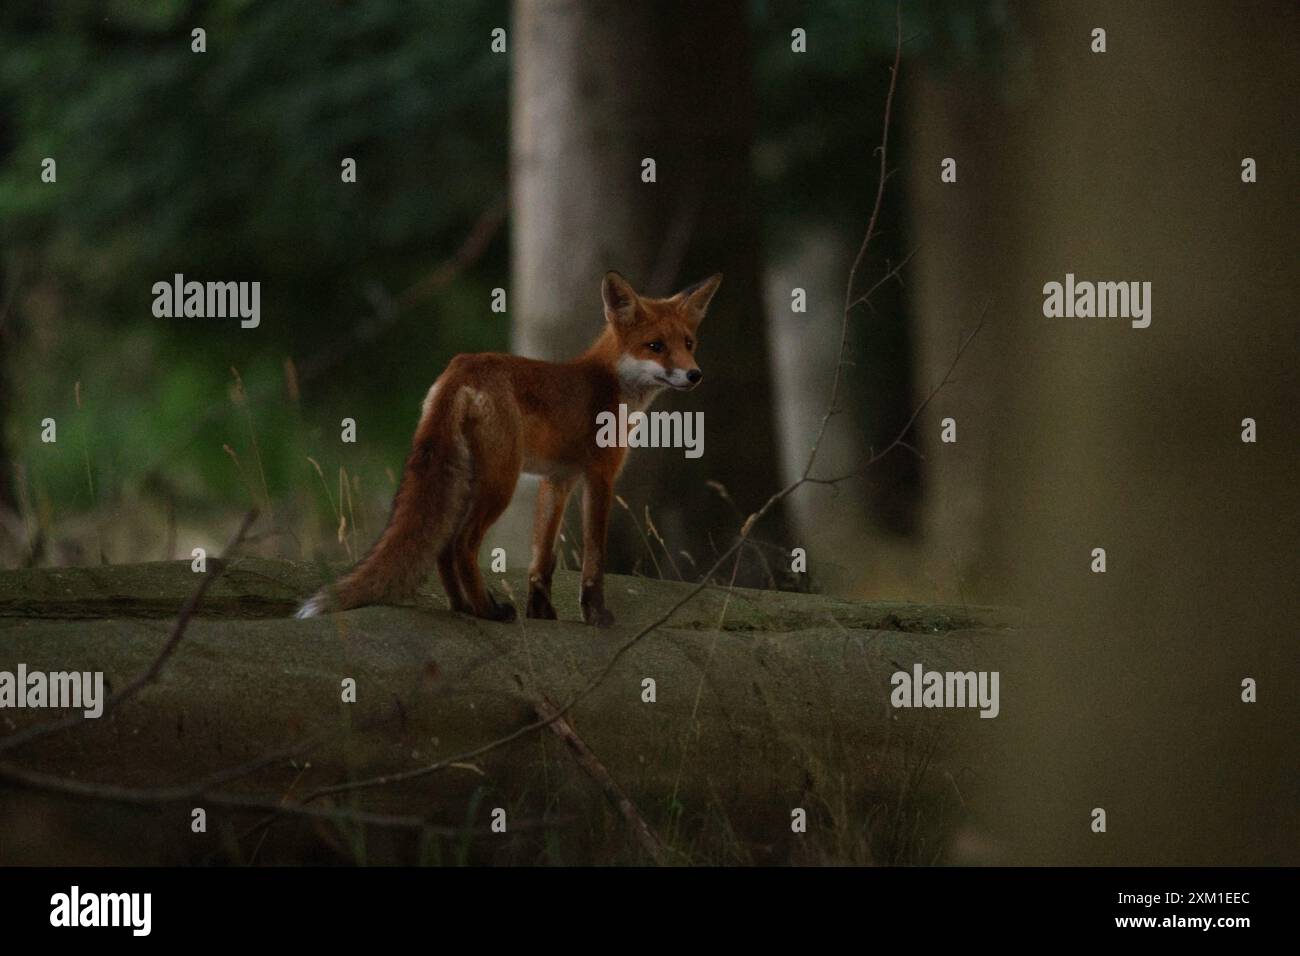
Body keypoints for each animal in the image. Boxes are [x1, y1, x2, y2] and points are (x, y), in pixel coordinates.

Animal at [296, 269, 722, 629]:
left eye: (688, 343)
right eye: (656, 346)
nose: (695, 374)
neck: (611, 383)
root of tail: (461, 366)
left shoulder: (557, 479)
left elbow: (542, 559)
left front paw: (542, 613)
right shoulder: (600, 476)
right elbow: (594, 557)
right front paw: (595, 615)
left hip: (468, 477)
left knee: (443, 547)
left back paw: (463, 606)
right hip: (501, 481)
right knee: (462, 544)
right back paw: (486, 610)